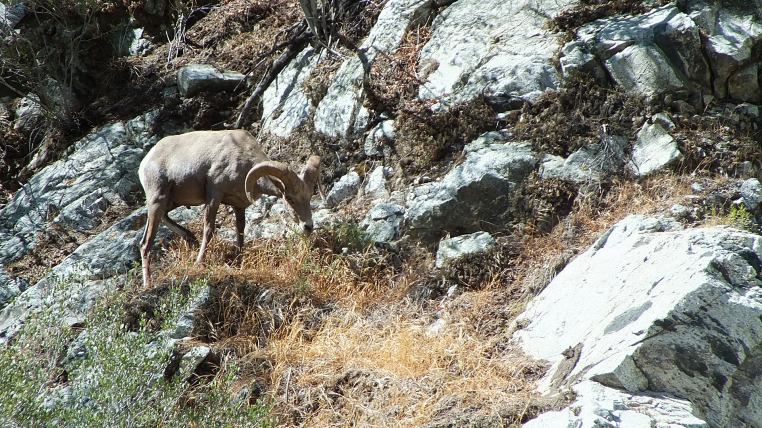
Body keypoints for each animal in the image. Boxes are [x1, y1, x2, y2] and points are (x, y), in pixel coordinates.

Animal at [138, 129, 321, 288]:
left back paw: (190, 238)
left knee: (163, 219)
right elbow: (209, 229)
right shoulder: (214, 194)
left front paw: (238, 260)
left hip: (171, 202)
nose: (308, 226)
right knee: (145, 243)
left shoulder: (238, 206)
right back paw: (148, 284)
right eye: (289, 198)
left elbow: (240, 233)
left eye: (309, 195)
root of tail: (145, 162)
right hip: (157, 200)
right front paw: (199, 263)